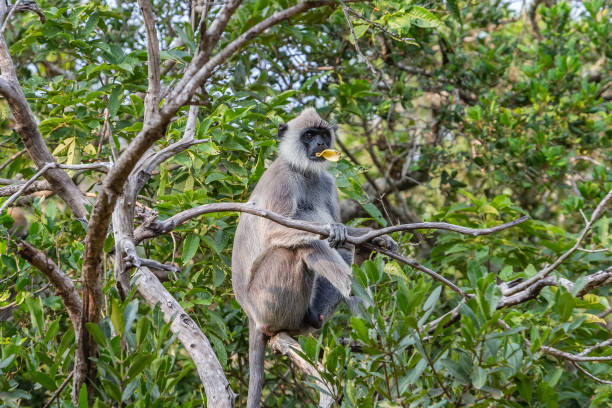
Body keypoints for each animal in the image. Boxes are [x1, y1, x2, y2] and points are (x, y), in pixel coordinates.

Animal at [231, 108, 396, 408]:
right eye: (309, 135)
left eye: (322, 135)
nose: (320, 144)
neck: (304, 171)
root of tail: (250, 314)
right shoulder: (283, 179)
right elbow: (276, 231)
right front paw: (335, 231)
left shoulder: (326, 183)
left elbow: (342, 232)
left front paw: (376, 238)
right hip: (267, 301)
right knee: (301, 247)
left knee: (341, 250)